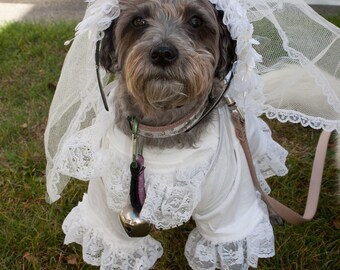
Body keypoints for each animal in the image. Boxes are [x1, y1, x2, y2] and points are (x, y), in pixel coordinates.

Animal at [59, 0, 288, 268]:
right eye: (138, 21)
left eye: (196, 21)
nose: (163, 53)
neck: (163, 129)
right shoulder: (109, 201)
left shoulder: (230, 207)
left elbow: (229, 242)